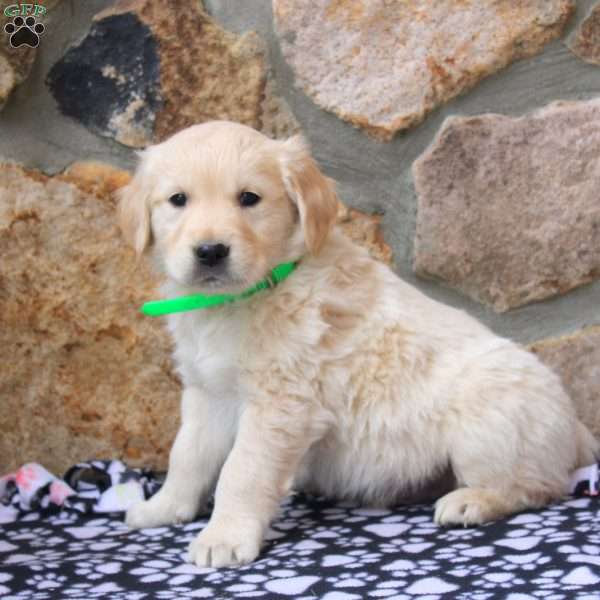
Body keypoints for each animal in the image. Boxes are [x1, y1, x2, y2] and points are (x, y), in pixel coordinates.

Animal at [118, 120, 600, 568]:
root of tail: (576, 430)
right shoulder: (206, 393)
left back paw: (473, 501)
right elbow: (187, 454)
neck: (246, 296)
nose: (211, 251)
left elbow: (242, 470)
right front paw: (162, 508)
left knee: (539, 485)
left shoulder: (281, 404)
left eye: (249, 199)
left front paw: (224, 537)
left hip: (487, 420)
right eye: (178, 200)